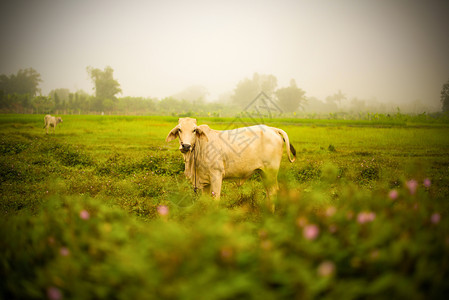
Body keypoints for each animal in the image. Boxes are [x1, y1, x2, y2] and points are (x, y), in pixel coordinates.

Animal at [164, 118, 294, 211]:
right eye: (179, 130)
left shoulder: (216, 175)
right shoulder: (204, 181)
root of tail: (273, 129)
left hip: (271, 172)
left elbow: (215, 199)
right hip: (264, 173)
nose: (186, 146)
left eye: (194, 130)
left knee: (273, 192)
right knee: (268, 192)